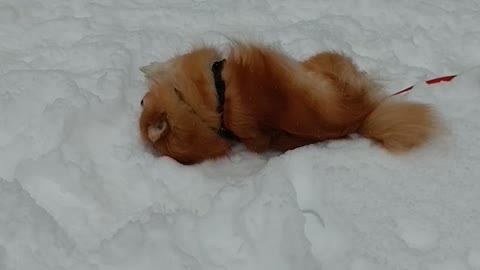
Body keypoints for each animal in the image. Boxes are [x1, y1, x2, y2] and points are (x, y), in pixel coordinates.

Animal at [139, 41, 438, 165]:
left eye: (142, 102)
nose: (141, 98)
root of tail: (359, 118)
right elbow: (165, 66)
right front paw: (149, 67)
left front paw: (147, 67)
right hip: (328, 59)